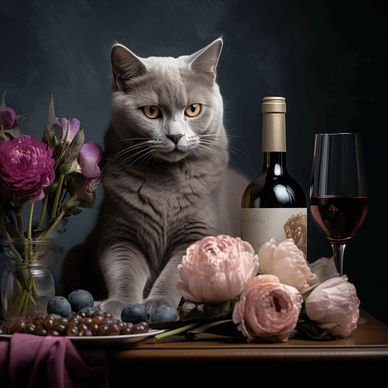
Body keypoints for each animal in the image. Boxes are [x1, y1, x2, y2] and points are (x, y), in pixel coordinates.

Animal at [62, 38, 247, 318]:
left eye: (193, 109)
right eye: (151, 111)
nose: (175, 136)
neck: (166, 184)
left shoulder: (199, 235)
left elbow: (175, 274)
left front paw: (159, 304)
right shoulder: (121, 235)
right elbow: (124, 270)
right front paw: (118, 305)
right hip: (75, 256)